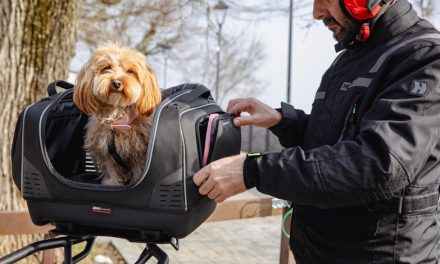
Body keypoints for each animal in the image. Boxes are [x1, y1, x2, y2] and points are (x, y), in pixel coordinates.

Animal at [73, 43, 162, 185]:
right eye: (107, 68)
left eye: (130, 71)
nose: (116, 83)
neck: (117, 123)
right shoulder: (105, 150)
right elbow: (111, 170)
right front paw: (112, 183)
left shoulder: (139, 151)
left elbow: (138, 170)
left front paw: (136, 182)